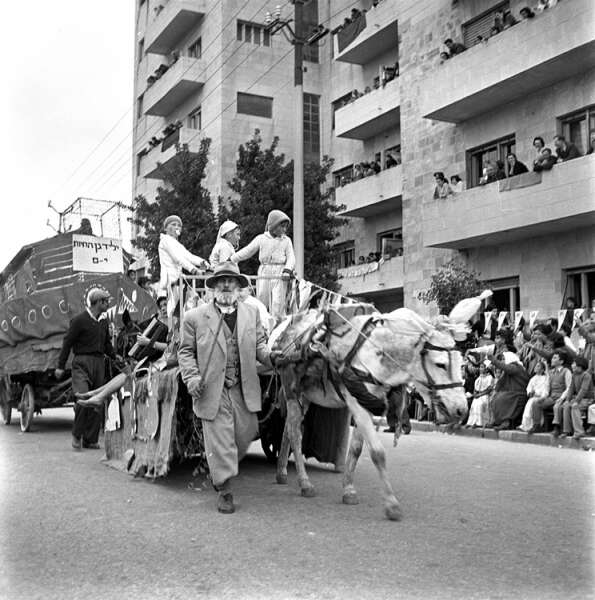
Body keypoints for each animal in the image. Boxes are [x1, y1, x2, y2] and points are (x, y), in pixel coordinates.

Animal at [270, 300, 472, 521]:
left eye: (461, 363)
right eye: (440, 364)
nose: (461, 410)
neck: (375, 354)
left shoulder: (366, 404)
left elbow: (357, 449)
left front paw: (348, 489)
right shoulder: (357, 404)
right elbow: (377, 453)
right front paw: (391, 504)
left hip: (305, 396)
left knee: (288, 430)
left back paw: (281, 472)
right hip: (291, 390)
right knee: (295, 434)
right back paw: (305, 483)